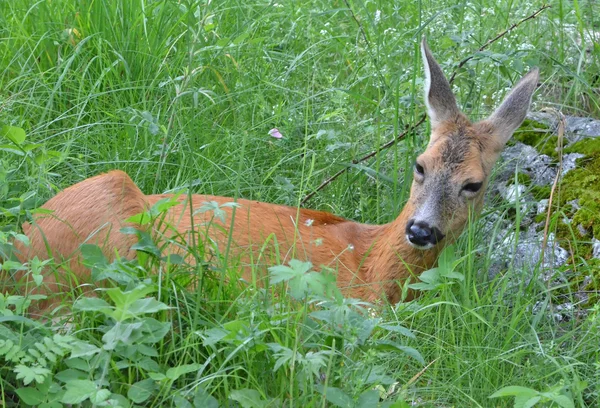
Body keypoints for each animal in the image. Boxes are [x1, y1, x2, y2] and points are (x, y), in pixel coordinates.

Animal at [7, 40, 540, 310]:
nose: (421, 230)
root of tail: (16, 249)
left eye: (473, 184)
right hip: (107, 208)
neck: (369, 267)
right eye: (419, 164)